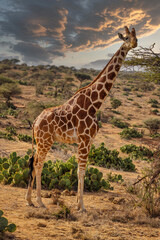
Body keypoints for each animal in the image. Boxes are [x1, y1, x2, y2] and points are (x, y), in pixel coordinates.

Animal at [25, 25, 137, 211]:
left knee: (34, 164)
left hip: (41, 141)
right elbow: (81, 170)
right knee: (38, 165)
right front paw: (81, 206)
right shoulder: (84, 139)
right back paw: (39, 201)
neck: (95, 103)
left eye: (136, 36)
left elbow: (81, 169)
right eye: (127, 37)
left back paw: (30, 200)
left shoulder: (90, 140)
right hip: (45, 141)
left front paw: (78, 202)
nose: (135, 43)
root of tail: (35, 122)